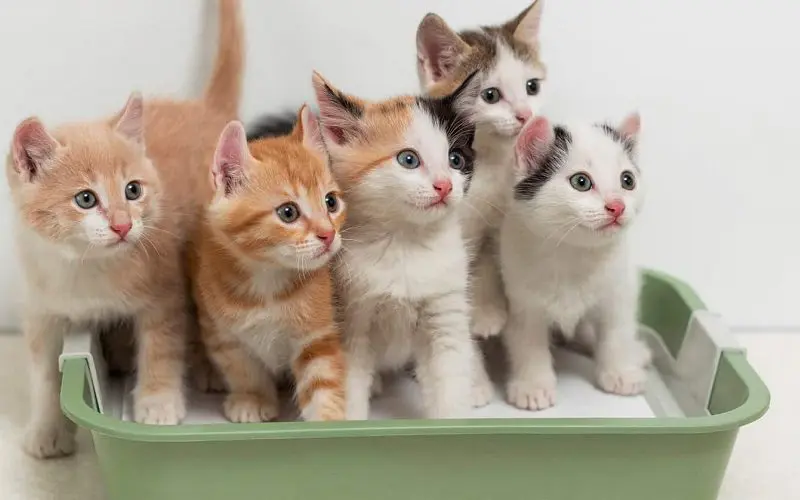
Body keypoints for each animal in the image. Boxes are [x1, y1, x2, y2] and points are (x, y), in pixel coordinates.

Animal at [7, 0, 244, 458]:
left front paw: (158, 403)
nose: (122, 225)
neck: (85, 267)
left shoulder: (164, 291)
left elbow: (161, 346)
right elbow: (44, 374)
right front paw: (46, 428)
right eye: (86, 199)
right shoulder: (42, 309)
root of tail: (204, 109)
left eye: (133, 190)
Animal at [190, 105, 346, 422]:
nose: (328, 234)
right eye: (288, 212)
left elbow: (322, 379)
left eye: (331, 202)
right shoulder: (222, 332)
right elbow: (241, 368)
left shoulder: (316, 333)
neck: (268, 281)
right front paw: (252, 398)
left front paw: (329, 420)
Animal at [310, 70, 490, 420]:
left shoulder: (444, 308)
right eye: (408, 159)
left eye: (455, 159)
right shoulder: (350, 319)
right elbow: (349, 383)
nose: (444, 186)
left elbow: (450, 372)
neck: (406, 244)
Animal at [416, 0, 548, 340]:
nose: (525, 115)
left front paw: (487, 309)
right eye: (490, 95)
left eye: (532, 87)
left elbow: (488, 262)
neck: (488, 164)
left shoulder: (496, 222)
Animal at [500, 114, 648, 410]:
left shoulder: (620, 289)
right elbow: (527, 340)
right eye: (581, 182)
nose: (617, 206)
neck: (573, 253)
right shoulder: (521, 299)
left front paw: (620, 372)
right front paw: (533, 385)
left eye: (627, 180)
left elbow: (618, 330)